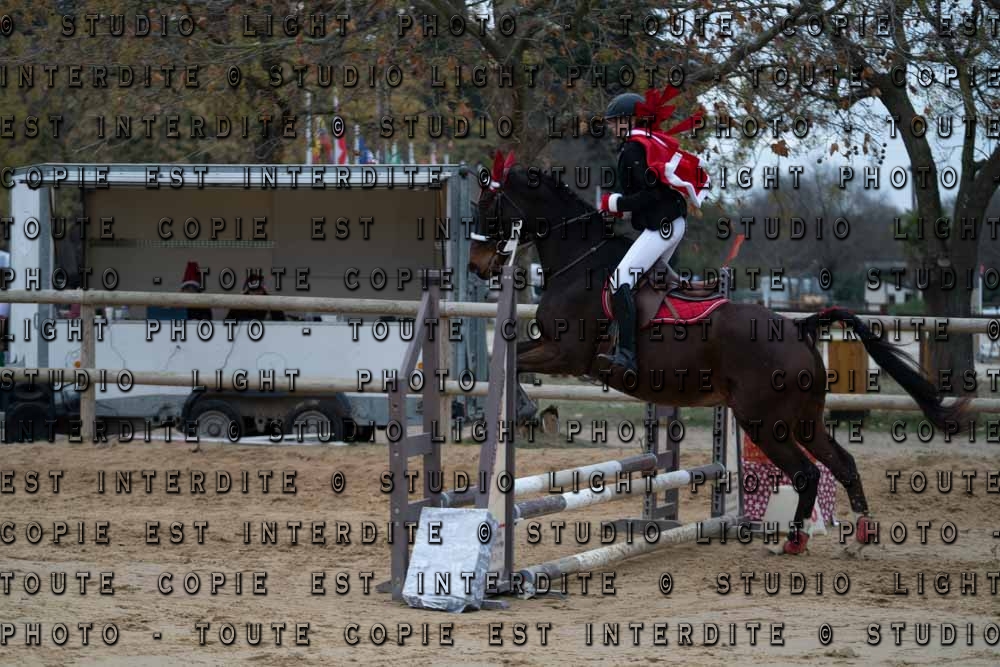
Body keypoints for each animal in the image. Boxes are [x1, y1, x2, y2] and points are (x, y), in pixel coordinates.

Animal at [467, 162, 970, 555]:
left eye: (487, 208)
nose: (476, 266)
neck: (579, 261)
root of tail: (798, 327)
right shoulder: (560, 352)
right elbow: (513, 362)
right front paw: (525, 409)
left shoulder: (567, 354)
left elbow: (514, 364)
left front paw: (524, 410)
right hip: (803, 418)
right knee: (840, 463)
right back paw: (858, 535)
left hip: (763, 421)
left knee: (806, 472)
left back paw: (793, 541)